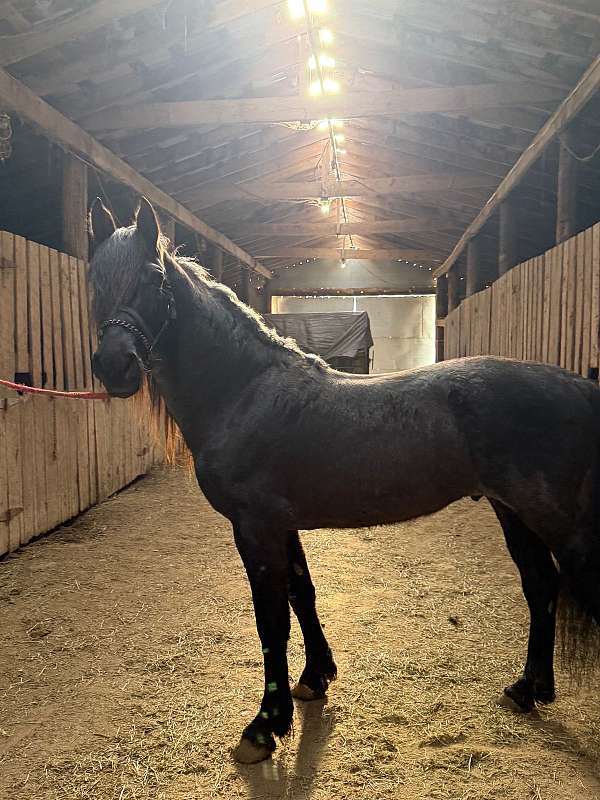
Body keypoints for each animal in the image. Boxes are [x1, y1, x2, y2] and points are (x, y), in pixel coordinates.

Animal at [89, 198, 600, 764]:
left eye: (154, 278)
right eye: (94, 279)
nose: (115, 367)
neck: (244, 391)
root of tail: (580, 387)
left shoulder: (254, 527)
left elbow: (272, 619)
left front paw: (264, 727)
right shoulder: (280, 525)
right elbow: (301, 593)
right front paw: (315, 679)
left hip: (557, 523)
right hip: (513, 512)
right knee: (541, 584)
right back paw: (527, 689)